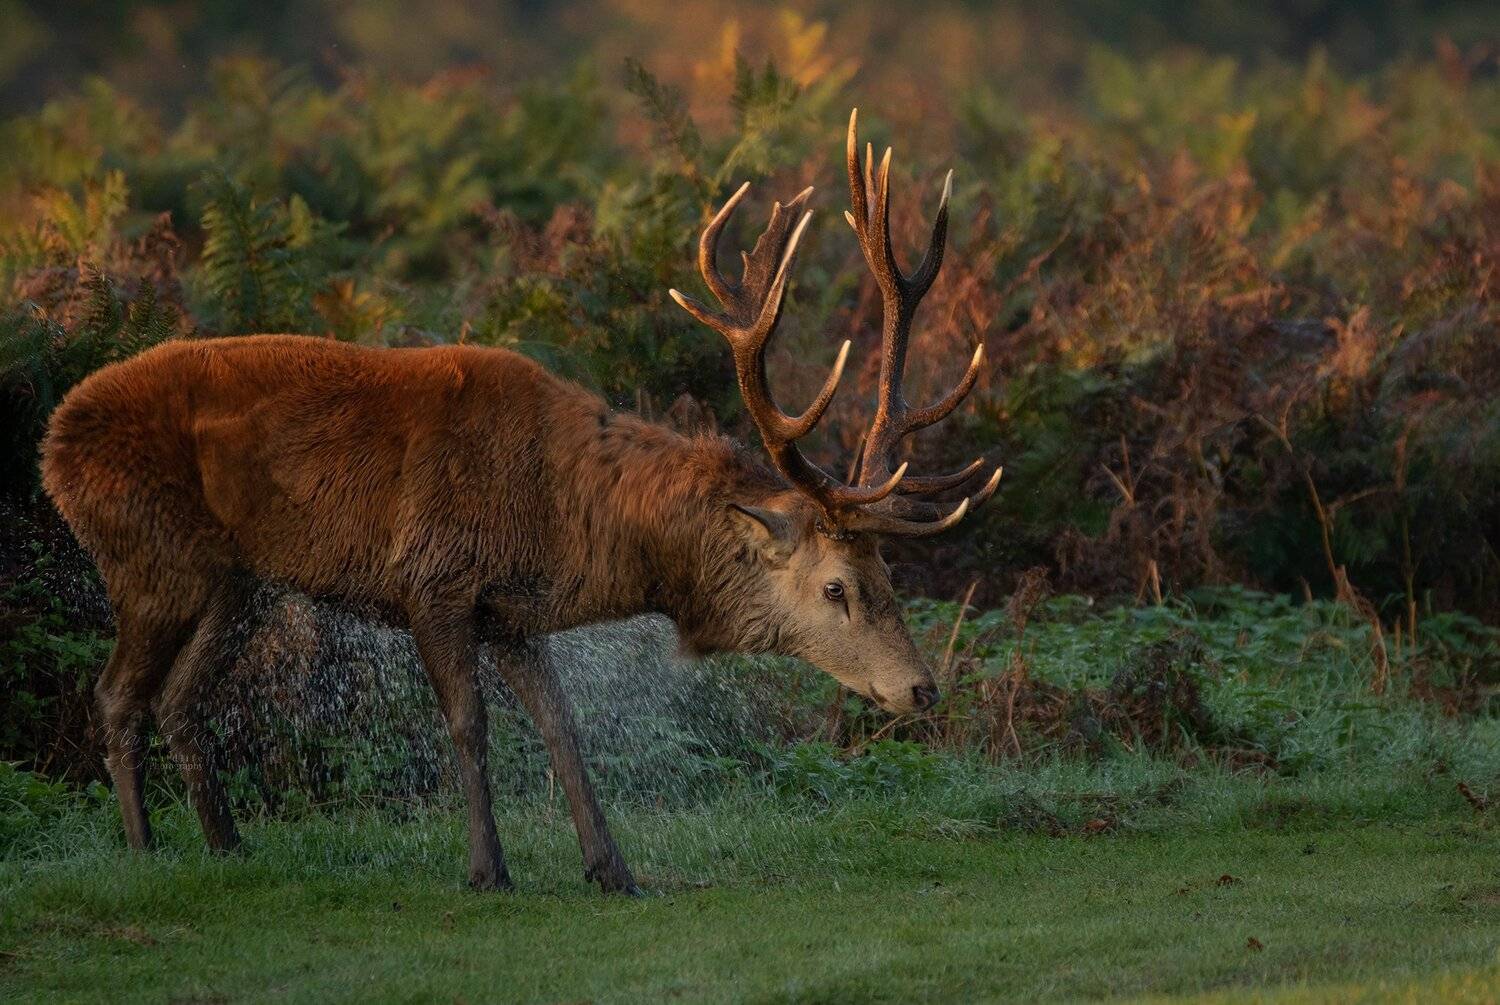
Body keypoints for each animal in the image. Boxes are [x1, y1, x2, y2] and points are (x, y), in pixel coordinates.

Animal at [41, 110, 1000, 895]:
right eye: (837, 586)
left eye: (888, 575)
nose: (922, 687)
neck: (559, 523)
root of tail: (55, 437)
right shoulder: (433, 578)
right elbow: (469, 725)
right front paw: (487, 868)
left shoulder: (510, 613)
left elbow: (562, 728)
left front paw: (612, 869)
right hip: (148, 552)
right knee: (115, 692)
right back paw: (144, 851)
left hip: (233, 580)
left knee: (177, 700)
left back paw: (228, 844)